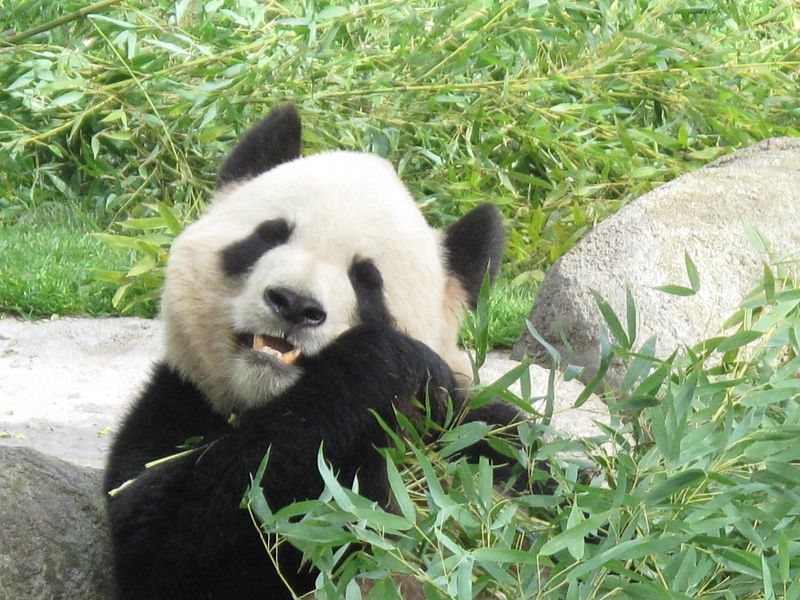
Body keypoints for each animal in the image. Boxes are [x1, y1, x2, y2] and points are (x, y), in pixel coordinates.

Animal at [103, 105, 524, 596]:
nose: (294, 303)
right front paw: (387, 361)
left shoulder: (476, 434)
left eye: (366, 278)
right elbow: (167, 533)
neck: (271, 397)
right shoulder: (178, 403)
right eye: (269, 236)